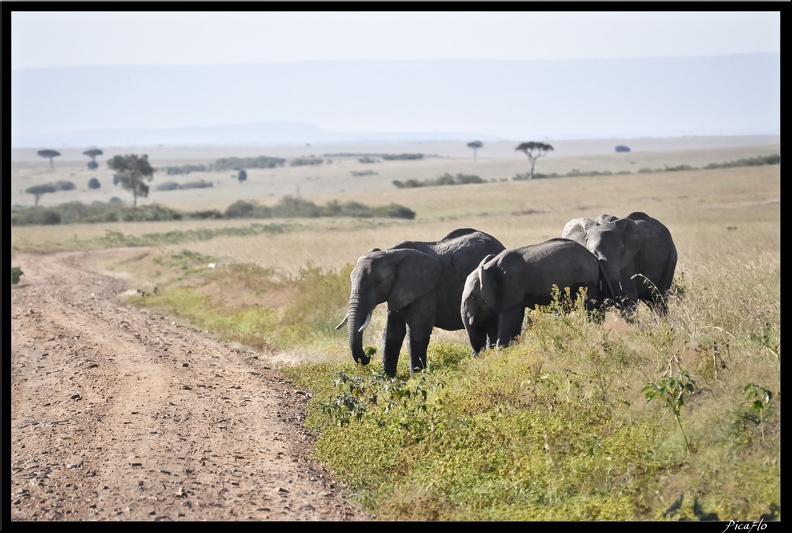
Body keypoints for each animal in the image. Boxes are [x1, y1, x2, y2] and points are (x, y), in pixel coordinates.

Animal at [458, 237, 600, 354]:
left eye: (473, 297)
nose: (477, 354)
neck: (489, 267)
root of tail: (593, 258)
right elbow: (517, 318)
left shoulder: (511, 285)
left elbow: (508, 318)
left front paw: (501, 351)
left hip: (588, 284)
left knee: (591, 309)